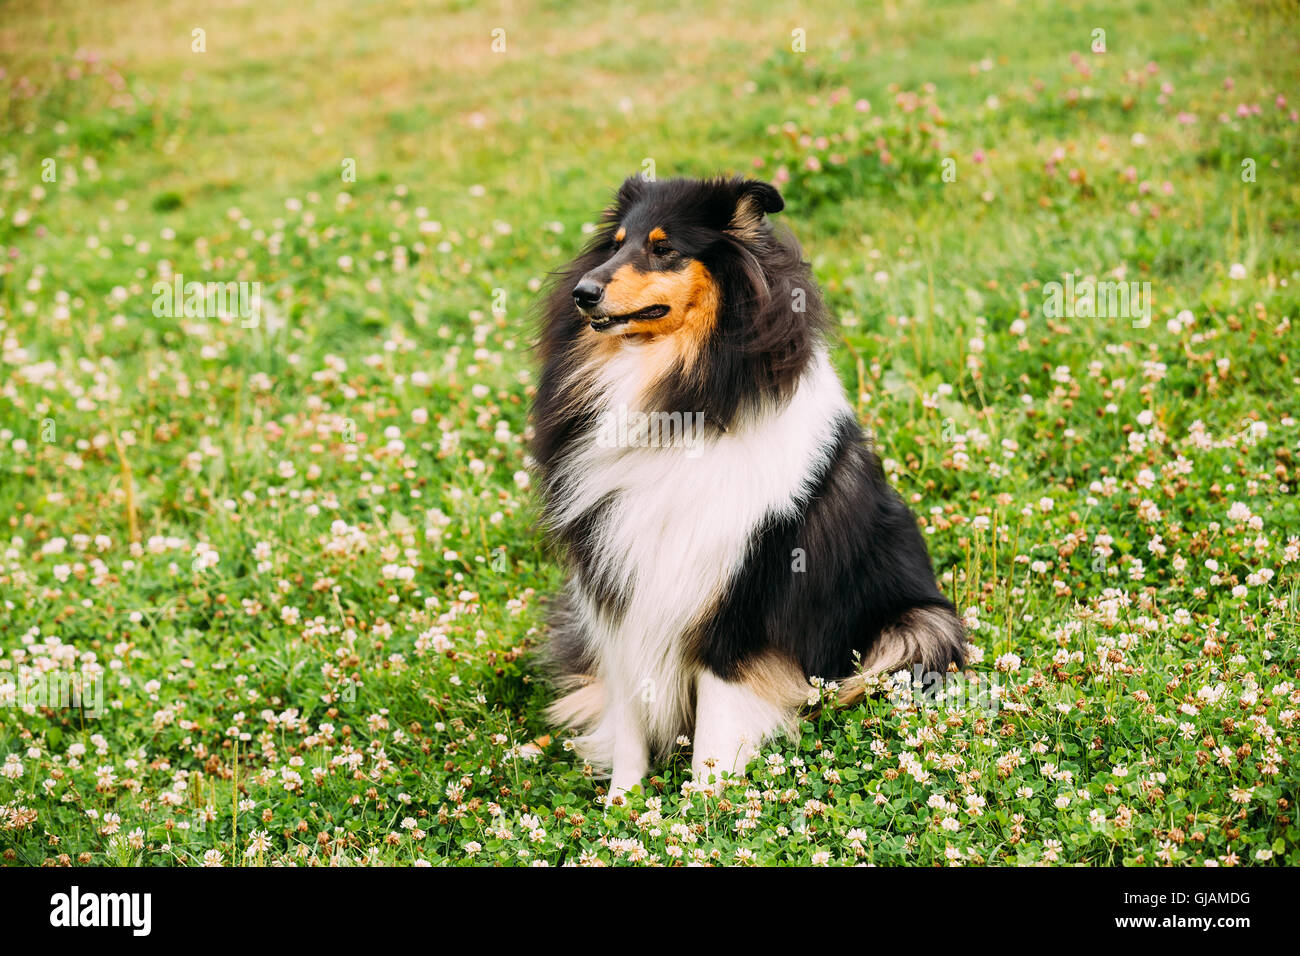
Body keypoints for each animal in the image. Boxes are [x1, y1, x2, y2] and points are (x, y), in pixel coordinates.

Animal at [527, 174, 967, 801]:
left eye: (664, 248)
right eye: (614, 244)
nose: (582, 293)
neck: (675, 397)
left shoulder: (741, 592)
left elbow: (716, 720)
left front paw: (705, 805)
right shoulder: (622, 589)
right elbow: (631, 712)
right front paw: (622, 801)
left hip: (919, 627)